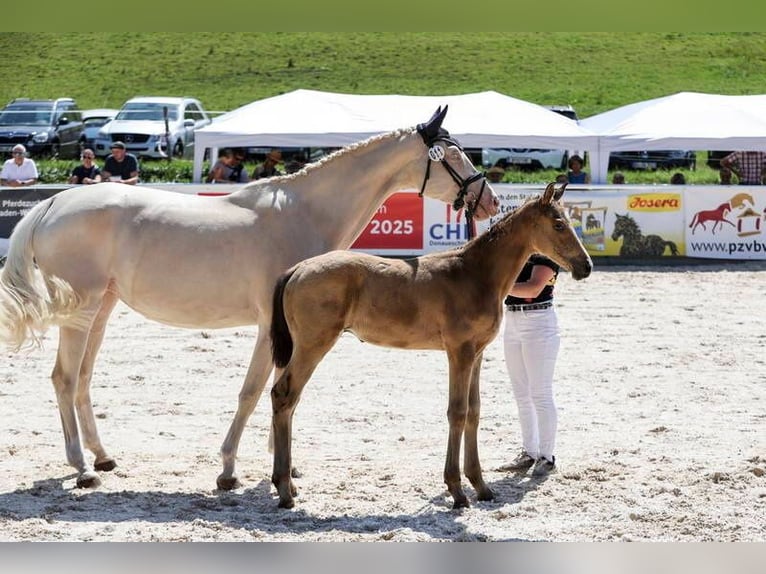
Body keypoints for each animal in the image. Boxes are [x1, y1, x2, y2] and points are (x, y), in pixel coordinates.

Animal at [0, 106, 499, 490]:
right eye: (454, 153)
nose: (491, 201)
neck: (304, 211)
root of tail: (53, 203)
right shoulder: (269, 326)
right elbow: (254, 391)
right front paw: (229, 470)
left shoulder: (287, 331)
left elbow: (280, 390)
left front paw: (283, 465)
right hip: (81, 311)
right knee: (65, 379)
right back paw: (82, 468)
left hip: (101, 309)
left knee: (83, 379)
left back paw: (102, 456)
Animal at [268, 182, 592, 510]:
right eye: (558, 224)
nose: (586, 266)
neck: (475, 275)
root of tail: (297, 269)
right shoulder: (459, 352)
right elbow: (457, 412)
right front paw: (457, 491)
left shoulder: (477, 354)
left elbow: (474, 412)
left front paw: (481, 486)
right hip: (312, 345)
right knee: (283, 395)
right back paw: (284, 490)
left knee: (290, 401)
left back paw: (290, 484)